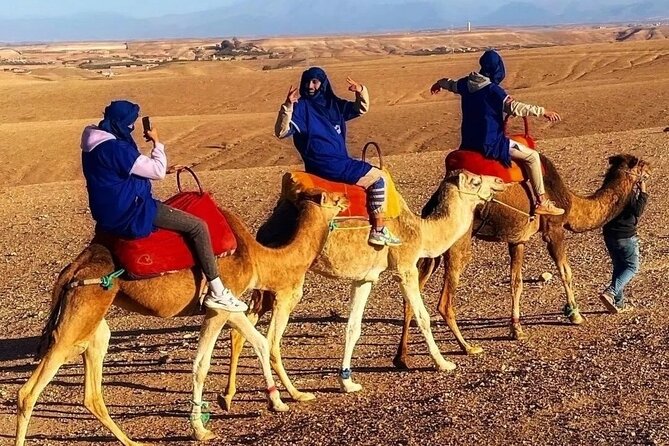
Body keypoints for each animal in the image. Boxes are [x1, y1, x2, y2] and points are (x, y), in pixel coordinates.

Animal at [15, 189, 349, 446]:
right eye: (333, 197)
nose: (346, 198)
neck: (257, 257)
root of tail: (72, 269)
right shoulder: (219, 306)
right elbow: (202, 364)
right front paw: (202, 428)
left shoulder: (228, 304)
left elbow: (259, 343)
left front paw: (289, 397)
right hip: (80, 314)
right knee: (28, 392)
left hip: (94, 323)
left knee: (91, 393)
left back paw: (131, 441)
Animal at [222, 170, 506, 408]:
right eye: (475, 181)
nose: (499, 181)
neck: (421, 231)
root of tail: (267, 226)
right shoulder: (406, 267)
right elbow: (423, 316)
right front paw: (444, 362)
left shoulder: (365, 279)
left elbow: (353, 328)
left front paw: (347, 382)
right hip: (287, 284)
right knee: (269, 337)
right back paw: (286, 396)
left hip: (267, 284)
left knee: (240, 329)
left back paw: (228, 396)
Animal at [393, 154, 650, 368]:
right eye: (641, 166)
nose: (650, 168)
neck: (569, 201)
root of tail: (434, 203)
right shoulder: (554, 230)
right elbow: (565, 271)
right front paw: (575, 314)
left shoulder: (518, 240)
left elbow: (516, 283)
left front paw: (516, 329)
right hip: (459, 244)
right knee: (444, 302)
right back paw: (467, 348)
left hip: (432, 251)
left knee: (411, 298)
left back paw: (402, 358)